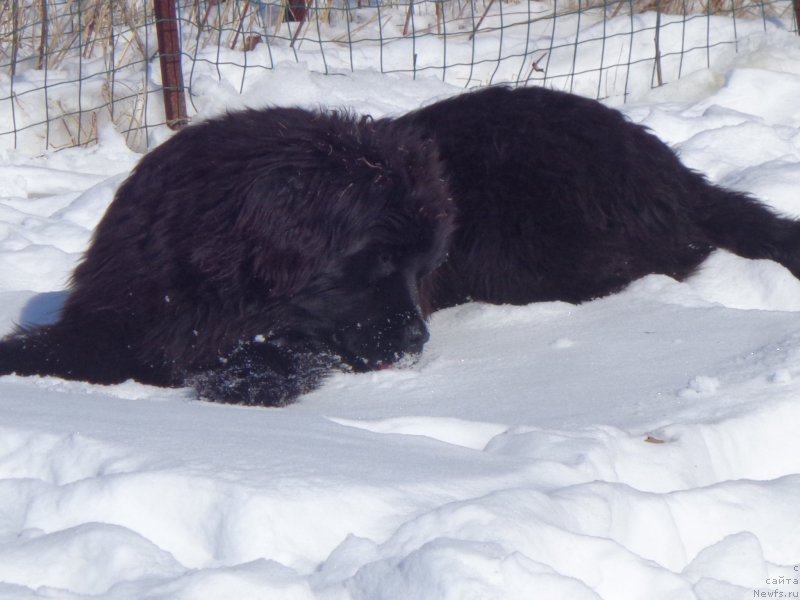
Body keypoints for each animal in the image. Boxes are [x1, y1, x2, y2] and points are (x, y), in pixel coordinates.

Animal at [1, 86, 800, 406]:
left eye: (423, 271)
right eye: (376, 266)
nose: (418, 342)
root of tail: (671, 167)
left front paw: (247, 379)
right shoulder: (115, 312)